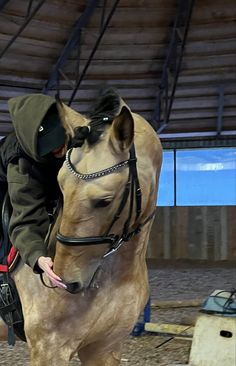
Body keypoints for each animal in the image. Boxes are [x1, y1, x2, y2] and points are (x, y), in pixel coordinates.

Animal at [12, 89, 162, 366]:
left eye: (104, 201)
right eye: (61, 186)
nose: (66, 281)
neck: (114, 276)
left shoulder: (105, 348)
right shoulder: (49, 349)